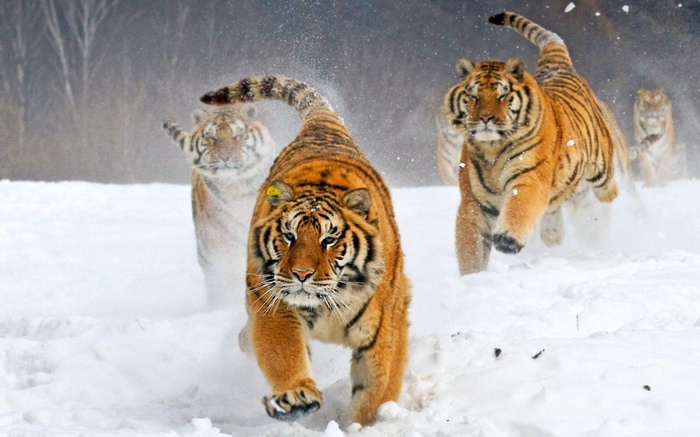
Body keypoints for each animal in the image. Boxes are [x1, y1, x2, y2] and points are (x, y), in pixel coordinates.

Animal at [199, 75, 411, 426]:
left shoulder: (385, 329)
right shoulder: (274, 306)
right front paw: (295, 398)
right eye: (289, 236)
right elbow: (283, 354)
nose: (301, 274)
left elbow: (376, 392)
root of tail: (321, 126)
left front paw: (364, 425)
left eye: (329, 240)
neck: (329, 303)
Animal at [442, 11, 623, 275]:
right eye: (473, 96)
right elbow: (470, 247)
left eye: (502, 95)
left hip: (599, 160)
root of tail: (557, 64)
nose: (485, 118)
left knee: (605, 185)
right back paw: (553, 234)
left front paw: (507, 240)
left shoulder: (530, 177)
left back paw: (607, 196)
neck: (492, 148)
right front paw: (472, 278)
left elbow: (520, 206)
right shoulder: (473, 201)